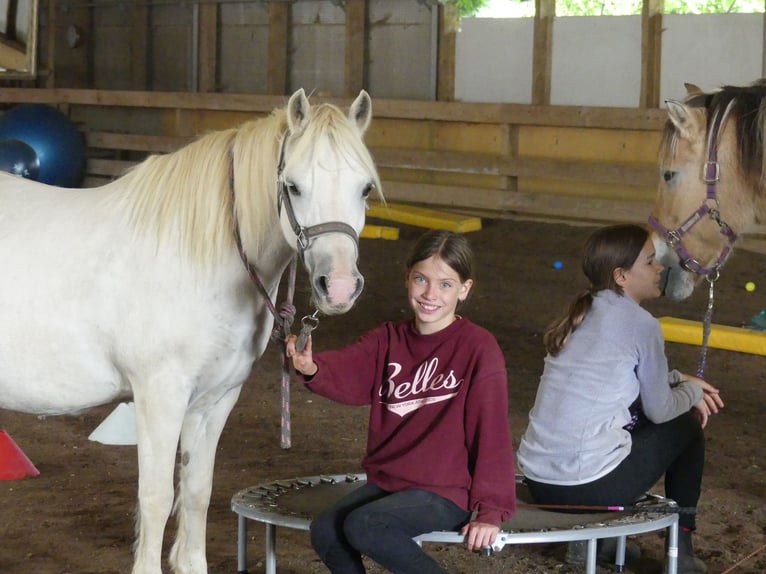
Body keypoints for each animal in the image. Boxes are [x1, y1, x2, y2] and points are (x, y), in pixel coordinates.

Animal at [0, 89, 380, 574]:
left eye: (364, 188)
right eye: (293, 186)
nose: (340, 287)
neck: (199, 258)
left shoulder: (216, 398)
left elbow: (197, 493)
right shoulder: (159, 396)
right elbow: (156, 499)